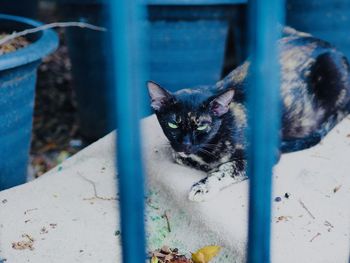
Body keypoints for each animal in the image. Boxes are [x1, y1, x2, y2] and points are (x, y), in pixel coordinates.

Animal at [146, 27, 350, 202]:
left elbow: (227, 167)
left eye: (202, 125)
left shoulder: (266, 154)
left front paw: (203, 187)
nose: (186, 144)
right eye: (173, 124)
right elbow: (180, 156)